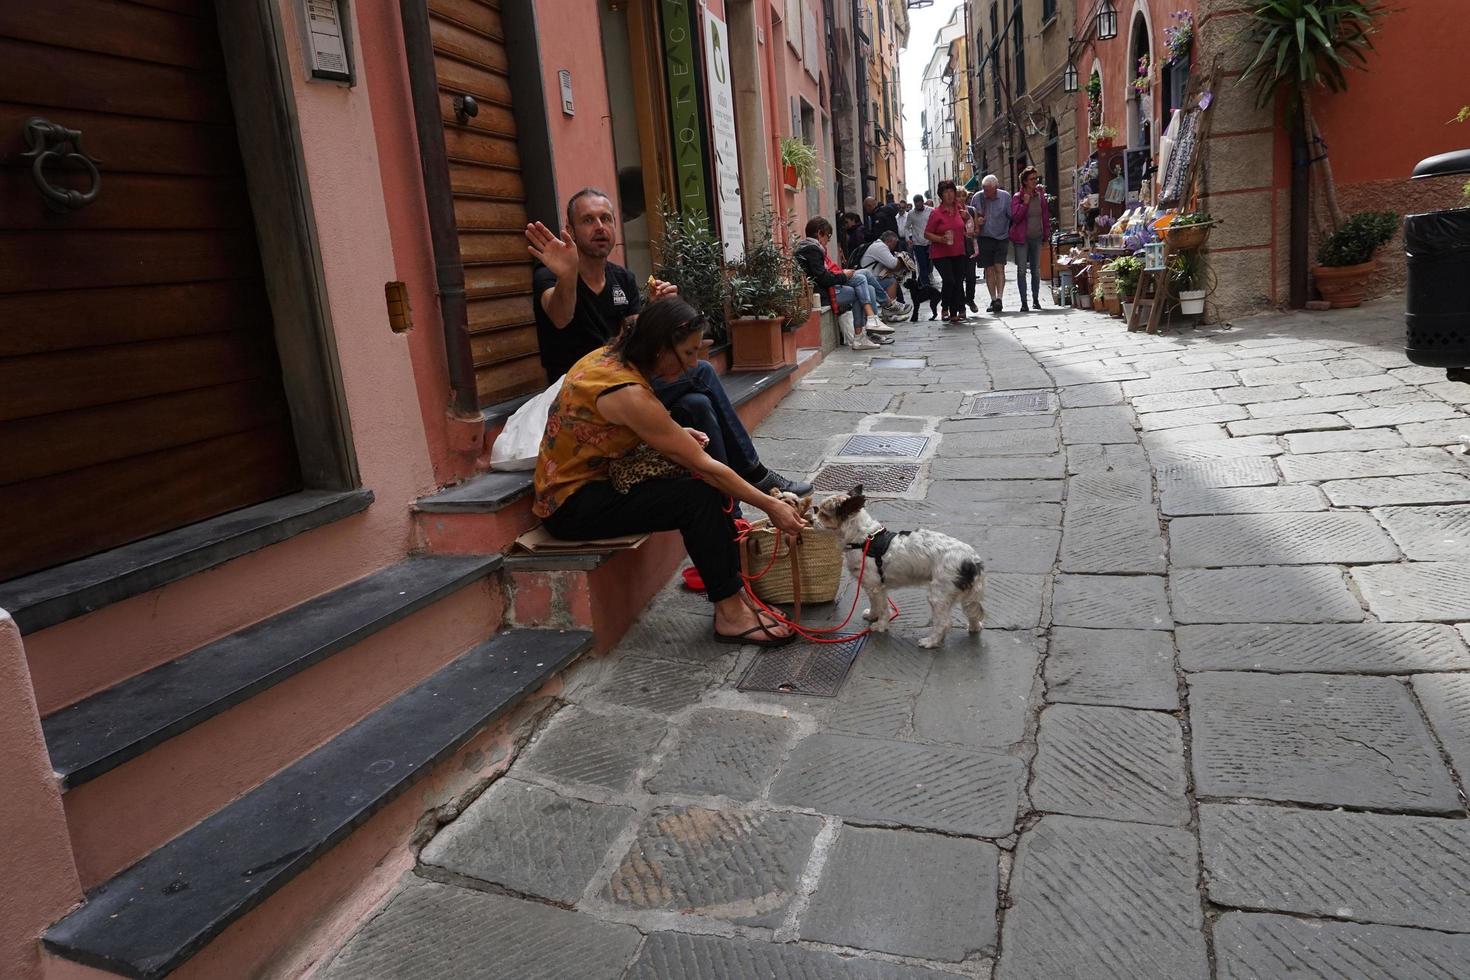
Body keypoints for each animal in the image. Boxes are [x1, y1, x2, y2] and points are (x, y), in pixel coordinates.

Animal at [817, 484, 987, 652]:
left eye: (823, 514)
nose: (812, 517)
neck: (863, 539)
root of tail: (972, 561)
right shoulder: (872, 587)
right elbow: (874, 604)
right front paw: (872, 615)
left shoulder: (875, 586)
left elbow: (883, 608)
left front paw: (880, 625)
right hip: (967, 595)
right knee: (972, 612)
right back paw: (973, 628)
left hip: (939, 595)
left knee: (944, 623)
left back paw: (930, 642)